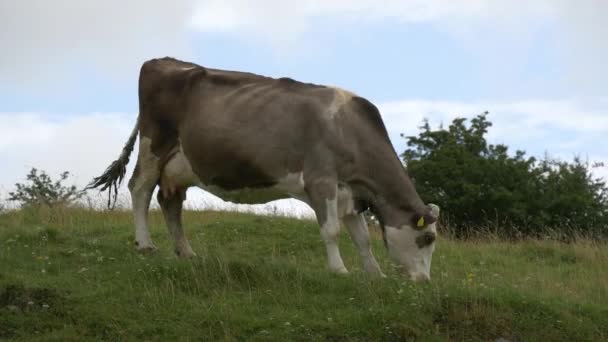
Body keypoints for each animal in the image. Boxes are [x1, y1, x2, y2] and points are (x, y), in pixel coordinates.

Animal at [88, 56, 440, 280]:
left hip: (181, 164)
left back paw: (186, 252)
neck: (349, 128)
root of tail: (163, 61)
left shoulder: (350, 192)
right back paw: (145, 244)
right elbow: (332, 230)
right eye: (427, 238)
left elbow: (362, 238)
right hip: (154, 143)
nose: (424, 281)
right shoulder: (321, 180)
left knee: (170, 202)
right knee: (140, 188)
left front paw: (374, 274)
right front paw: (339, 270)